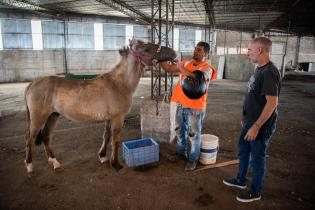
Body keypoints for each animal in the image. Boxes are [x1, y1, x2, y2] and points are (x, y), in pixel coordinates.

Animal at [24, 38, 178, 173]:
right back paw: (29, 165)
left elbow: (106, 136)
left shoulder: (109, 119)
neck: (120, 83)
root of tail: (33, 83)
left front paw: (103, 156)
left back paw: (54, 162)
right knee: (29, 138)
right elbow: (115, 140)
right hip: (38, 118)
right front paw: (116, 164)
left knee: (45, 136)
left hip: (53, 116)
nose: (173, 52)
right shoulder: (118, 118)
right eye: (146, 49)